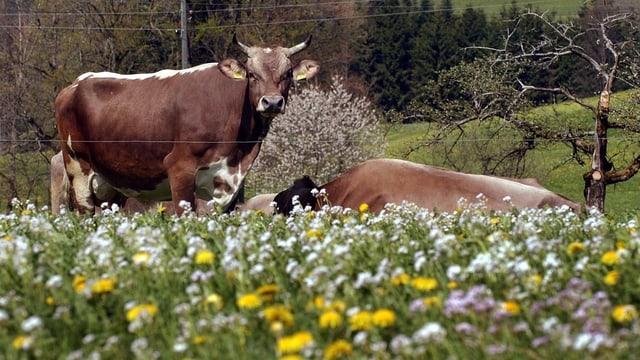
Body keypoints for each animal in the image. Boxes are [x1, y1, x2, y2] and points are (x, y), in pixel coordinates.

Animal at [53, 34, 318, 214]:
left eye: (287, 75)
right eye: (252, 75)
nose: (272, 101)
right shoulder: (179, 169)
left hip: (112, 183)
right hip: (78, 169)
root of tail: (74, 84)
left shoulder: (229, 184)